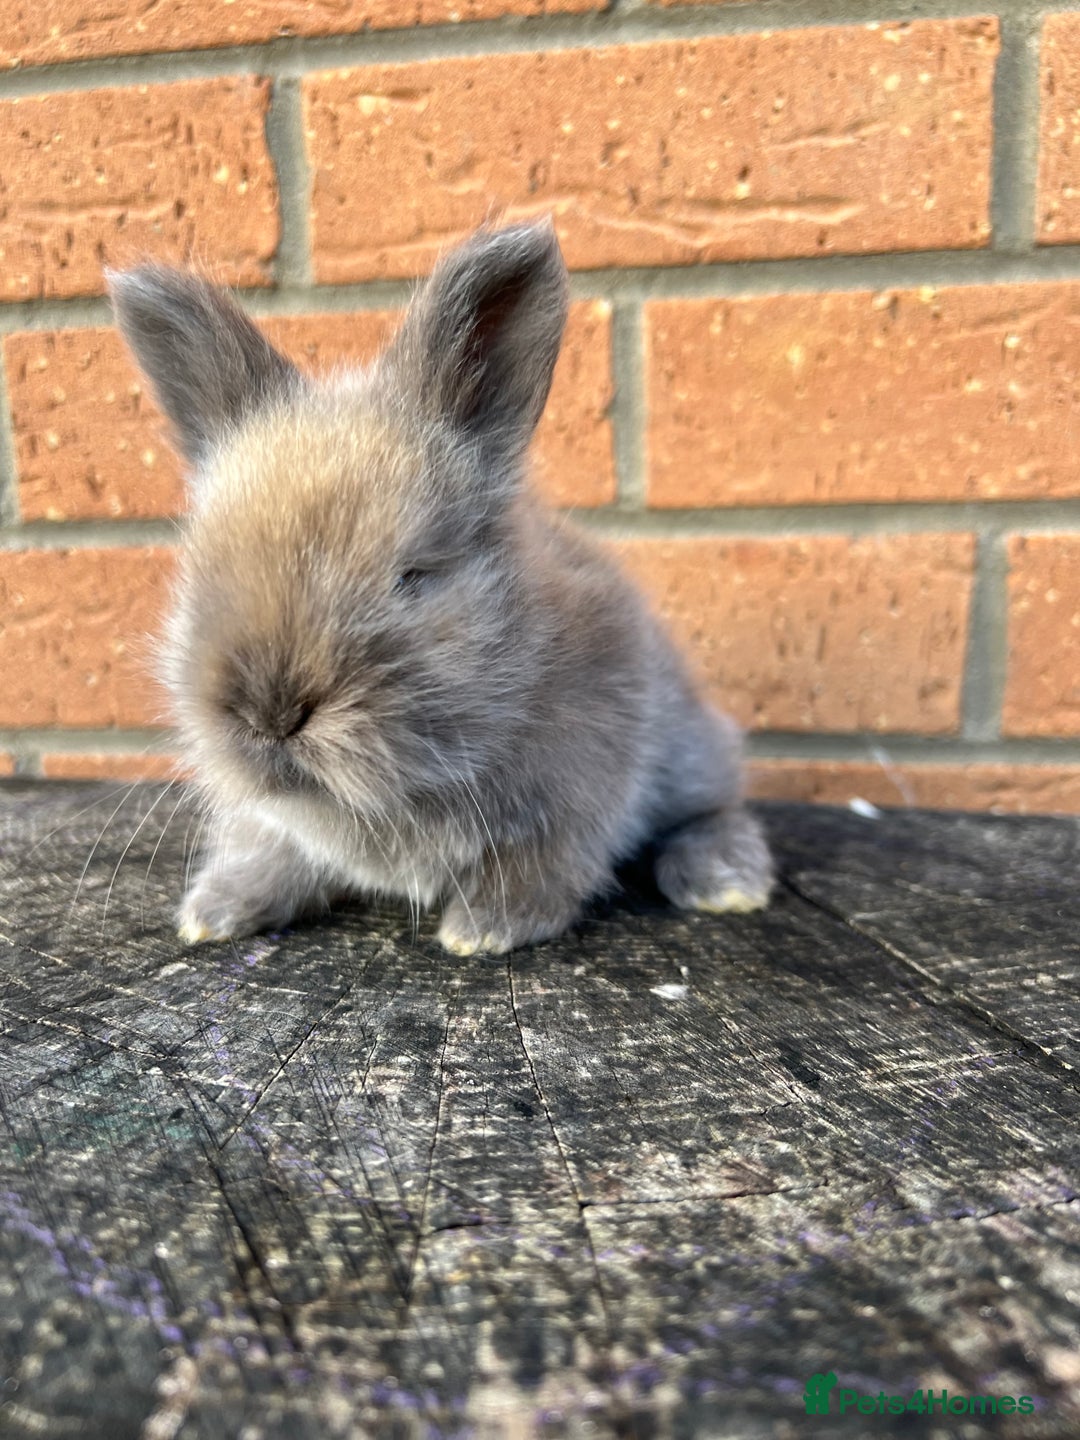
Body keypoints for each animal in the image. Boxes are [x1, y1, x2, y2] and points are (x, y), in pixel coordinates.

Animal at [108, 220, 773, 955]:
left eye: (412, 576)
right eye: (206, 570)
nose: (269, 714)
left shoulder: (584, 785)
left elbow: (544, 860)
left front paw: (483, 930)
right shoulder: (276, 823)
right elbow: (270, 851)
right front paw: (216, 913)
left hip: (688, 749)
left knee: (717, 807)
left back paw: (727, 882)